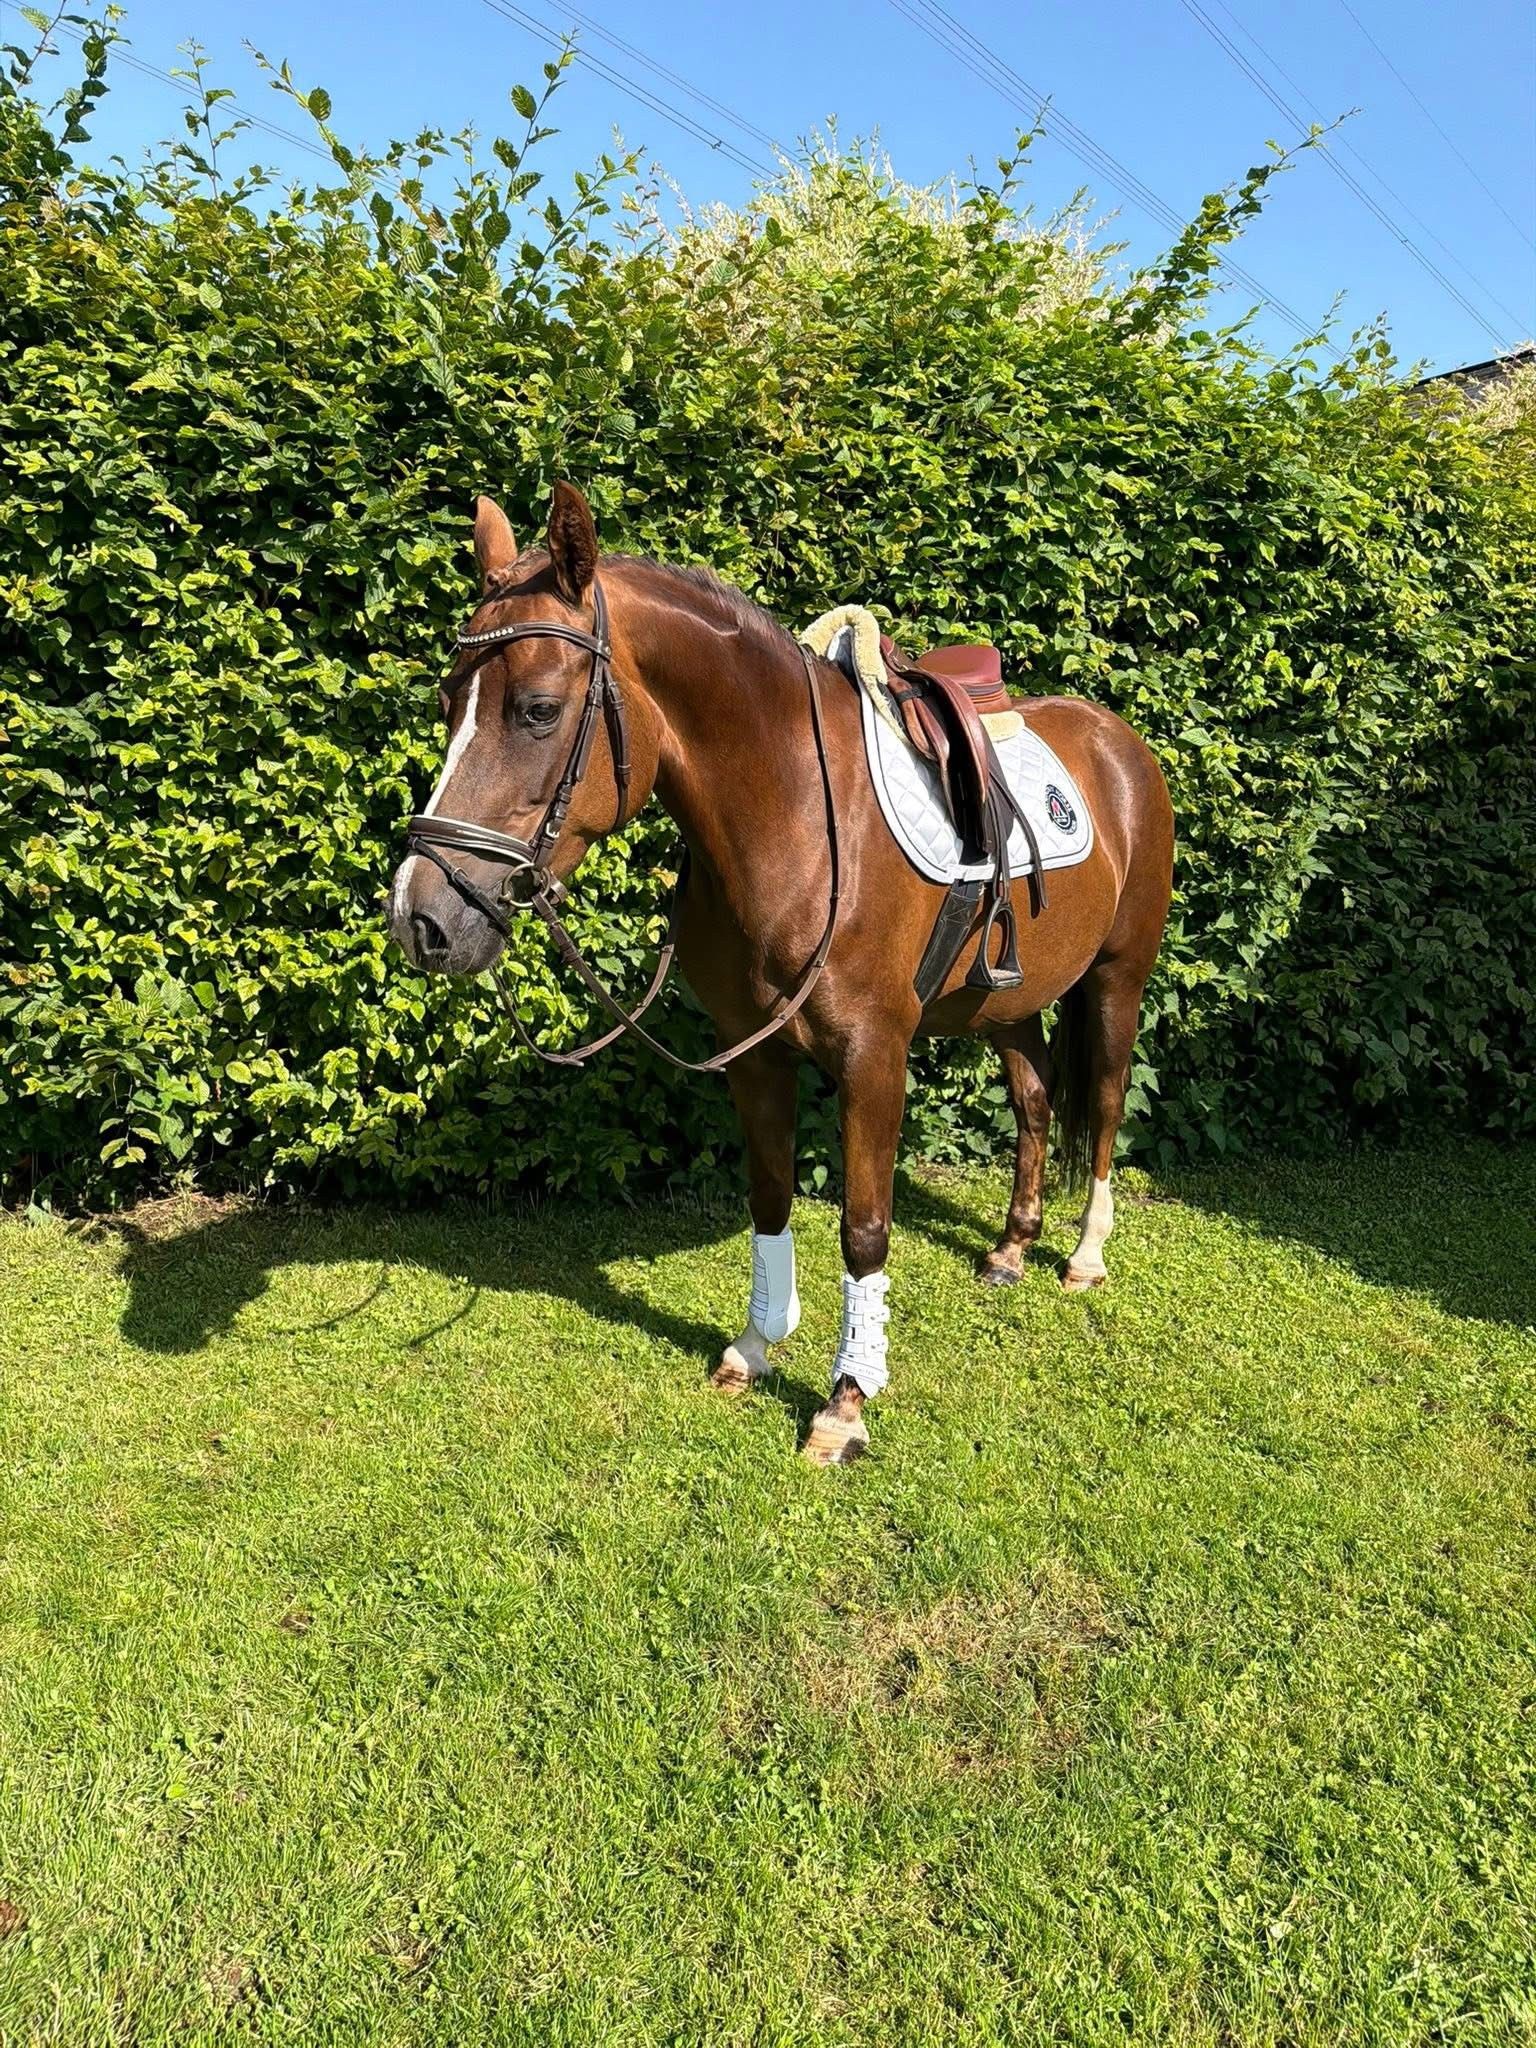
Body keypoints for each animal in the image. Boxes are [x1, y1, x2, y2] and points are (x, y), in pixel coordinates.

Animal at [389, 483, 1174, 1464]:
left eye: (535, 708)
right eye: (449, 699)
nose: (421, 917)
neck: (796, 816)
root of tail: (1118, 742)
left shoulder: (874, 1059)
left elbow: (865, 1229)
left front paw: (847, 1400)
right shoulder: (753, 1052)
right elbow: (769, 1198)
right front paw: (758, 1346)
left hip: (1116, 981)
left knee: (1101, 1105)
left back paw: (1084, 1255)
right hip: (1007, 1003)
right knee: (1033, 1104)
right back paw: (1009, 1250)